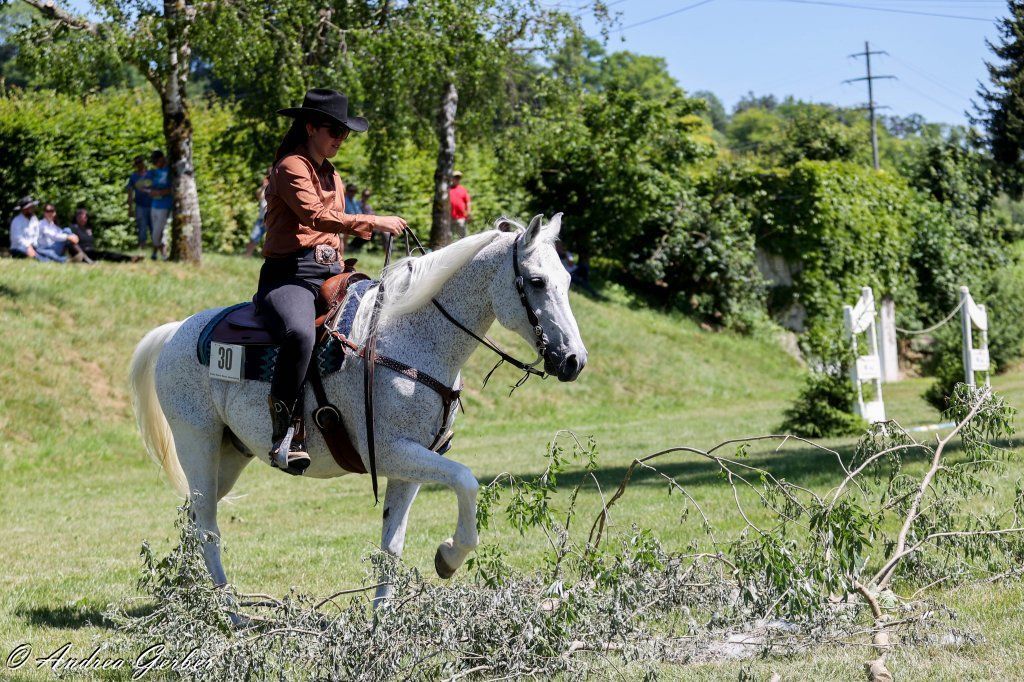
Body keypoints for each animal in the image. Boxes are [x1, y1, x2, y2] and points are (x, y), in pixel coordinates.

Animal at [128, 214, 587, 603]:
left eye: (566, 280)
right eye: (536, 280)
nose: (574, 361)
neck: (408, 338)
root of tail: (177, 332)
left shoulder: (415, 461)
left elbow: (392, 544)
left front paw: (381, 624)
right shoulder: (390, 452)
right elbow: (466, 481)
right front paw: (450, 555)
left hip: (230, 453)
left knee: (192, 516)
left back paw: (190, 594)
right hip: (198, 442)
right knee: (207, 525)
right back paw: (228, 611)